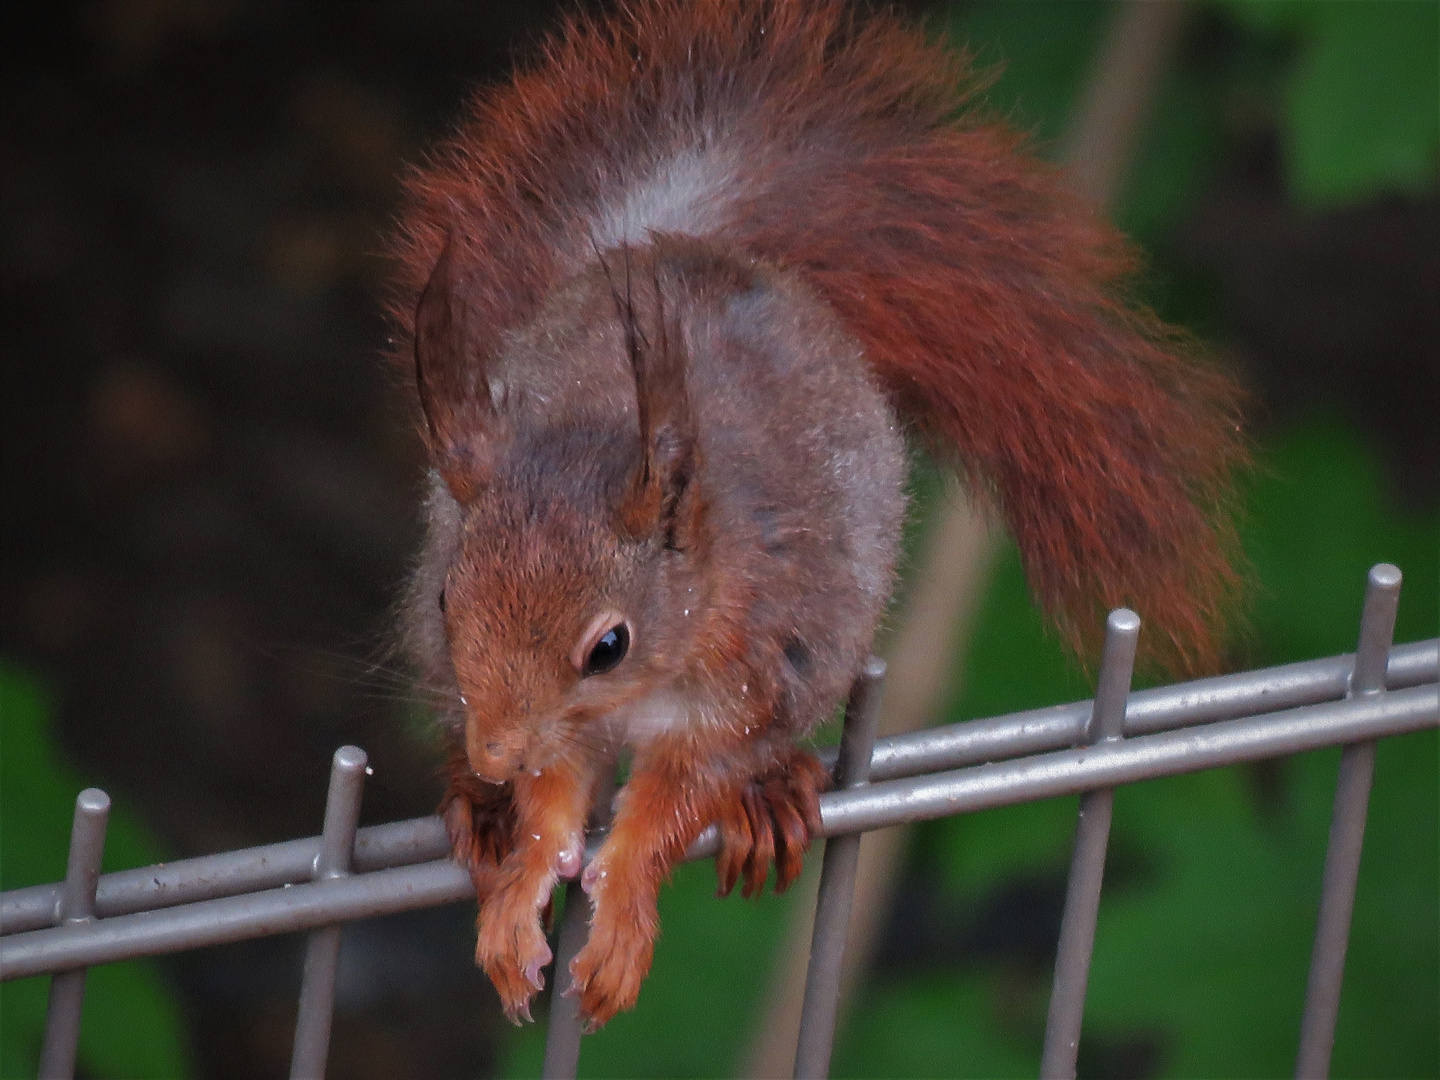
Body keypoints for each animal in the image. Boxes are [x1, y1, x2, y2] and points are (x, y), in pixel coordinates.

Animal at [388, 0, 1244, 1031]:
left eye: (610, 645)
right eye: (449, 599)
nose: (495, 750)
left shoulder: (754, 672)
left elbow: (681, 796)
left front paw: (621, 912)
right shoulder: (556, 720)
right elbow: (555, 799)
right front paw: (519, 888)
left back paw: (773, 799)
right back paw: (477, 809)